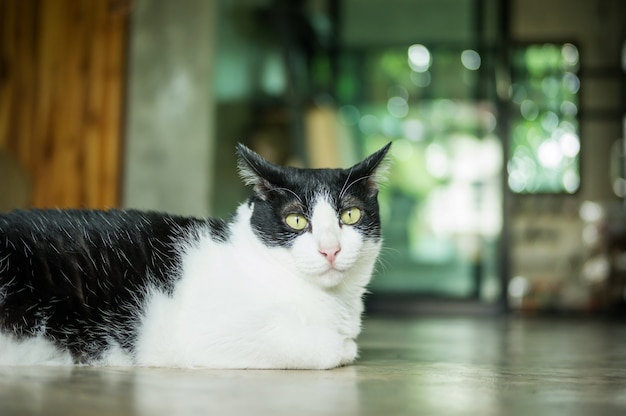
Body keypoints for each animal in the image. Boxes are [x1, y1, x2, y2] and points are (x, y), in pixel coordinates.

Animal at [0, 142, 390, 368]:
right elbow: (333, 348)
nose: (330, 249)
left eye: (350, 215)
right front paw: (342, 346)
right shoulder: (208, 334)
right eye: (296, 219)